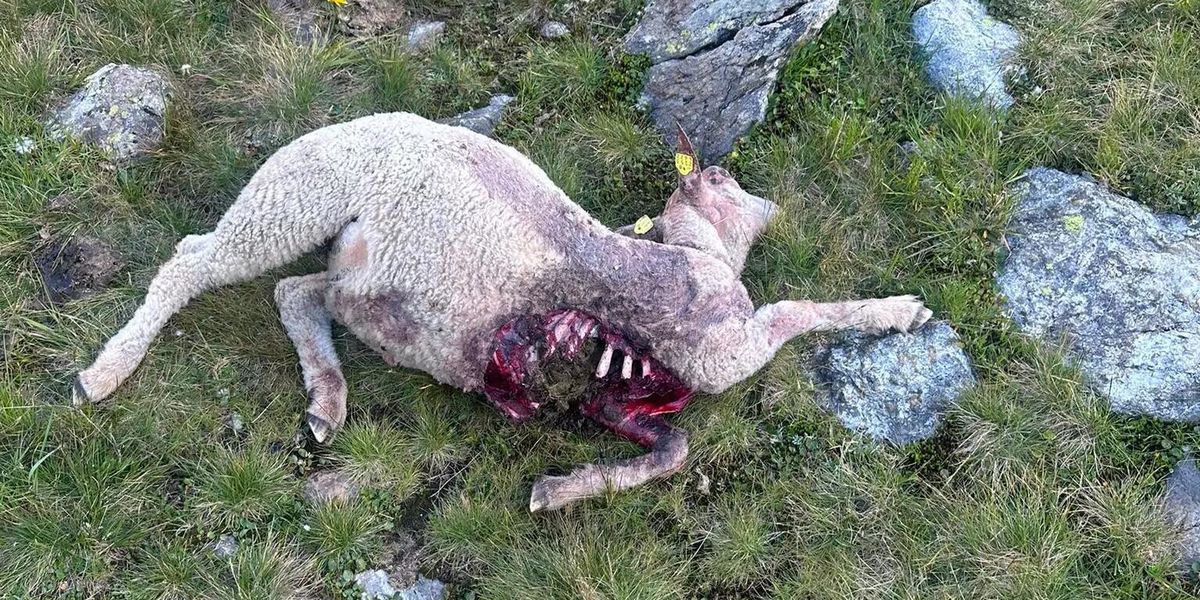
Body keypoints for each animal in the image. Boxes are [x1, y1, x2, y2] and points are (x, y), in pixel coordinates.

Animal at [73, 112, 931, 511]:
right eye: (722, 180)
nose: (767, 200)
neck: (691, 254)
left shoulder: (618, 397)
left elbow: (673, 450)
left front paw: (563, 490)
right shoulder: (723, 342)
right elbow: (796, 312)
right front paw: (902, 311)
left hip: (358, 271)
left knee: (300, 293)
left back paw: (326, 401)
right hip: (297, 193)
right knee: (192, 260)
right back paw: (103, 374)